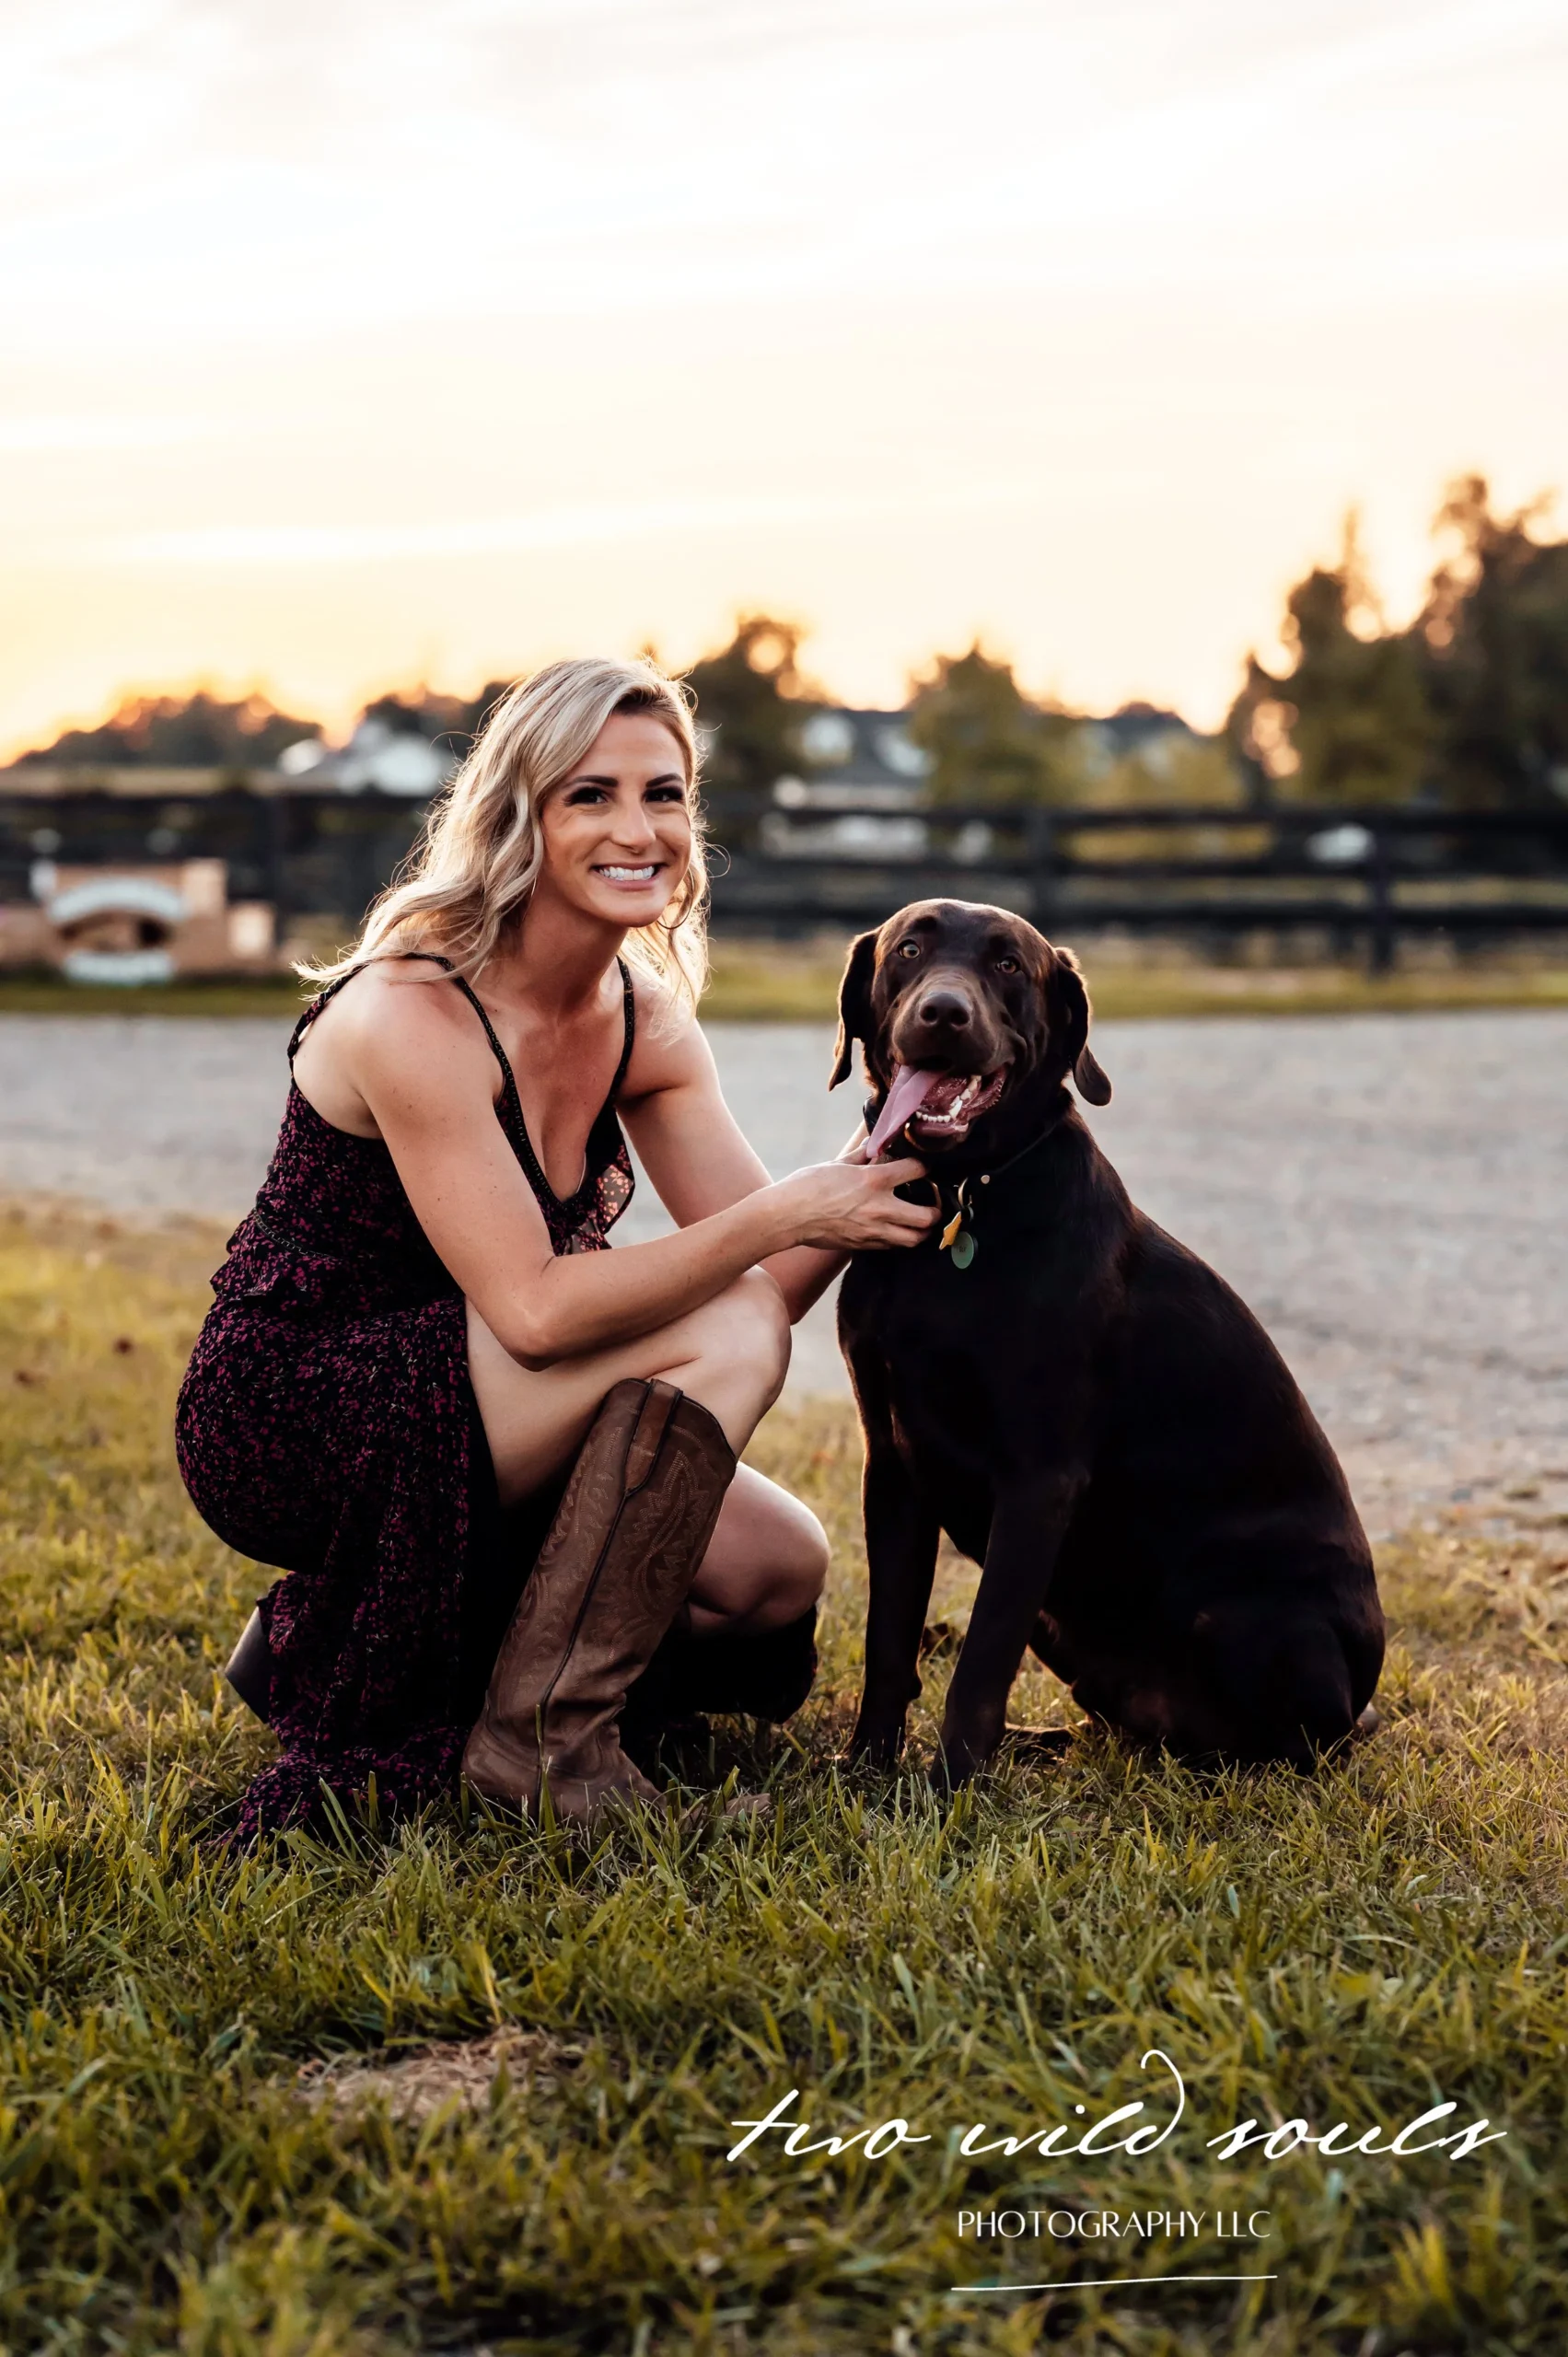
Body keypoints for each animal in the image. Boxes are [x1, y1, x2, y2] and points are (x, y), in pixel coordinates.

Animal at [832, 898, 1384, 1784]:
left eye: (1008, 966)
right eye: (908, 949)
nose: (943, 1014)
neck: (962, 1201)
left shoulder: (1038, 1478)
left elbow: (980, 1659)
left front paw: (947, 1790)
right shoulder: (890, 1465)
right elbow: (890, 1640)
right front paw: (868, 1772)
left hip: (1247, 1621)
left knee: (1293, 1748)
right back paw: (1043, 1746)